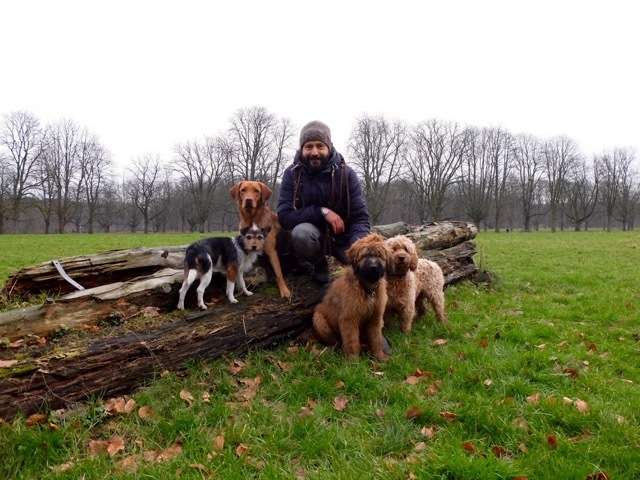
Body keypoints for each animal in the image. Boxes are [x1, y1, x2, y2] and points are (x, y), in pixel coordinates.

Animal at [312, 233, 393, 362]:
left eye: (379, 255)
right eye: (365, 255)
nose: (373, 267)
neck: (367, 289)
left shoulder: (375, 317)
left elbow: (376, 338)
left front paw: (379, 355)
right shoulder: (349, 318)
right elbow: (351, 340)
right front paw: (353, 360)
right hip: (319, 320)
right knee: (335, 341)